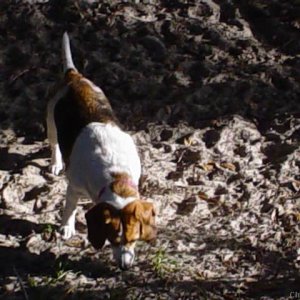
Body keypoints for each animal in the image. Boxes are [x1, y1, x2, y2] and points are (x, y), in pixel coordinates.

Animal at [47, 32, 157, 270]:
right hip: (50, 122)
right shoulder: (74, 188)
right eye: (112, 240)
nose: (125, 267)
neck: (115, 176)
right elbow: (69, 208)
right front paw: (67, 227)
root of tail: (73, 76)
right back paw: (55, 163)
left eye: (134, 239)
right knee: (54, 144)